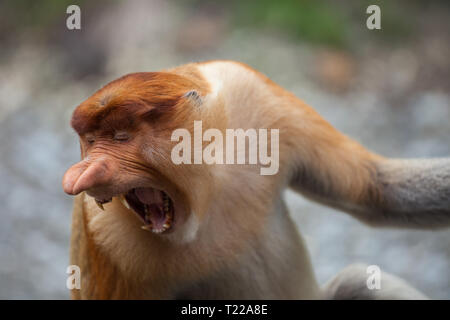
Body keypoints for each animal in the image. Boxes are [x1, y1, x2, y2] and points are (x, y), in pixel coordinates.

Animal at [62, 60, 450, 300]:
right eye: (91, 140)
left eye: (121, 136)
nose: (79, 175)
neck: (211, 180)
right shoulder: (105, 238)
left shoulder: (258, 98)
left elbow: (374, 187)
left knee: (358, 283)